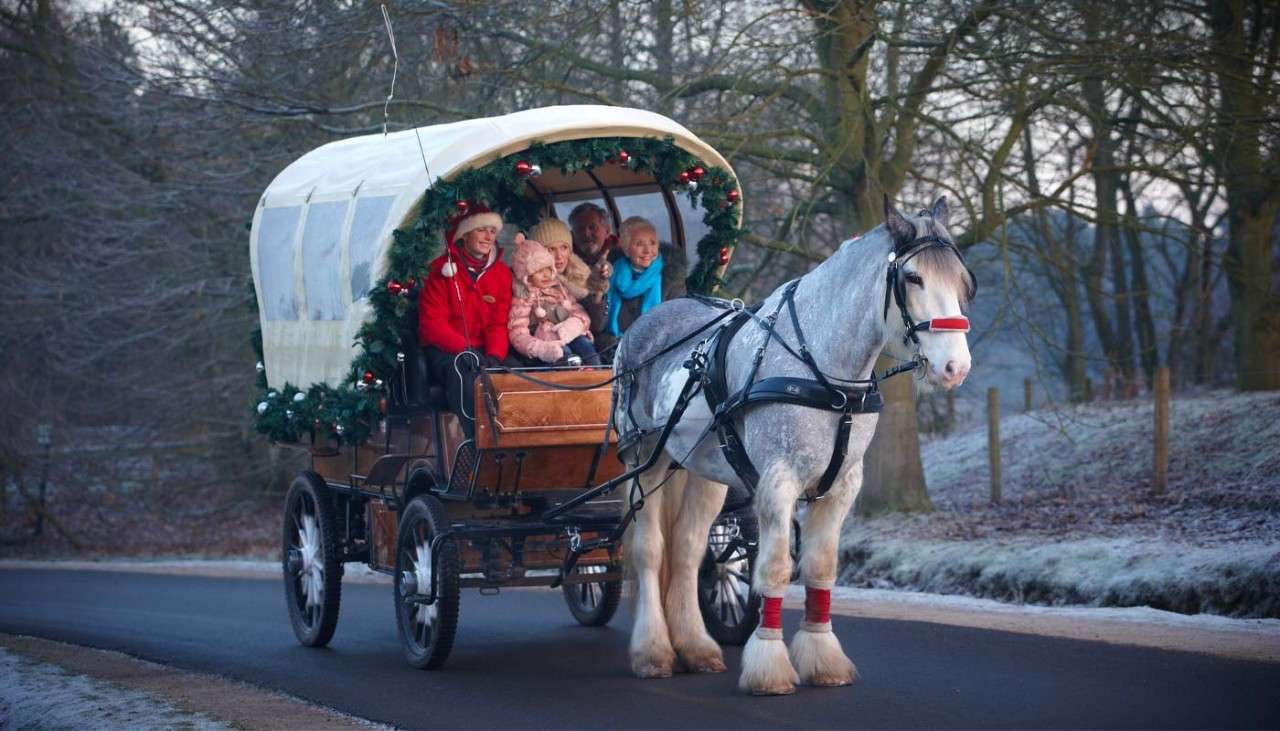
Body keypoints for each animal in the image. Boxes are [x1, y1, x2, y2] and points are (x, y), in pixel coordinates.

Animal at [614, 195, 972, 696]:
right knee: (650, 550)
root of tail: (647, 323)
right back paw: (652, 651)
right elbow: (776, 568)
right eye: (913, 277)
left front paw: (822, 658)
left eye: (960, 278)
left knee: (686, 550)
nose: (955, 367)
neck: (824, 374)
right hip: (643, 460)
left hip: (704, 472)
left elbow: (820, 568)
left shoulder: (841, 487)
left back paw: (697, 648)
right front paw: (769, 665)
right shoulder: (777, 481)